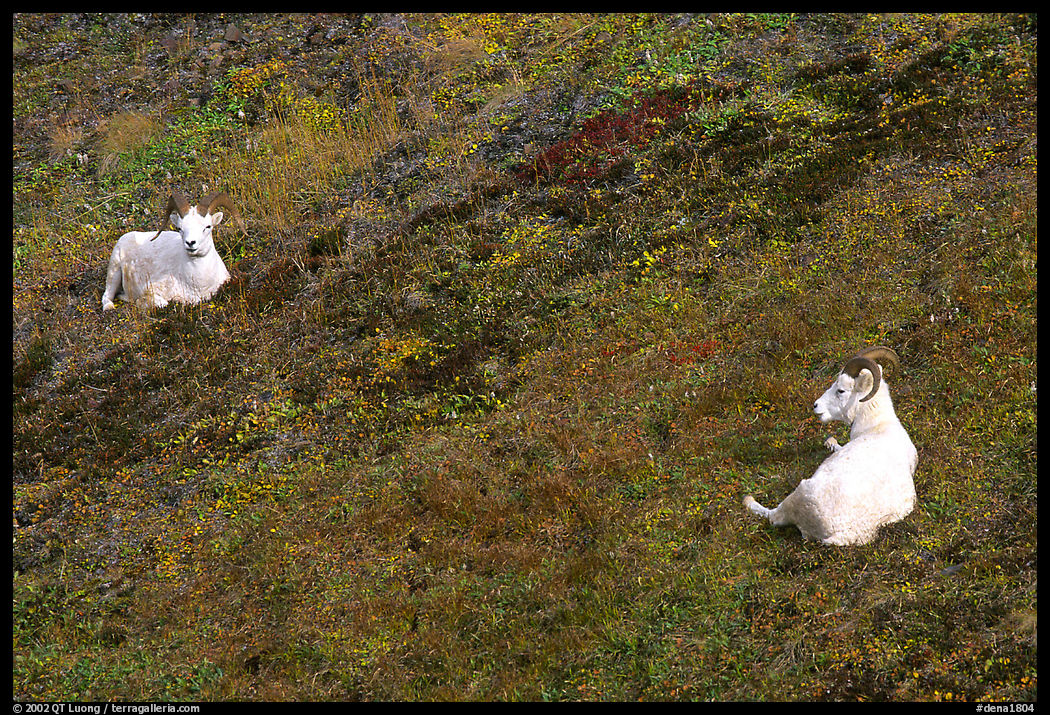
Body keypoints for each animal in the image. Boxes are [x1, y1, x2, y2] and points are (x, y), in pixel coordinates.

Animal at [101, 190, 241, 311]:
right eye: (180, 228)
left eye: (208, 226)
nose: (190, 243)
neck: (201, 285)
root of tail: (125, 237)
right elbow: (162, 303)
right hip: (114, 271)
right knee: (107, 295)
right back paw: (110, 306)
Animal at [742, 346, 917, 546]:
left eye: (840, 390)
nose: (816, 406)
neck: (878, 426)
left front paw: (830, 442)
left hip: (796, 494)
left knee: (772, 516)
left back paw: (748, 500)